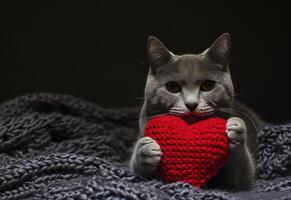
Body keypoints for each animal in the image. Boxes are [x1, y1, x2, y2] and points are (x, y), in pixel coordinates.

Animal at [130, 33, 262, 191]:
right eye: (172, 86)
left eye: (208, 85)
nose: (191, 104)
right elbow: (139, 172)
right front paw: (146, 149)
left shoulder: (243, 178)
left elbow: (242, 176)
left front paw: (236, 129)